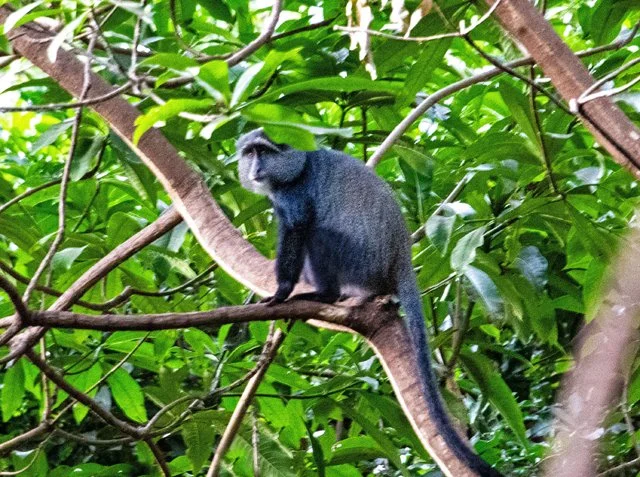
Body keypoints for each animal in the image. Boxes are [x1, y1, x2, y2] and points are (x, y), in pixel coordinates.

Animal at [236, 129, 503, 477]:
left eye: (264, 152)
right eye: (249, 153)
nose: (255, 168)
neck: (299, 165)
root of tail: (401, 255)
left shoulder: (293, 195)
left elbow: (296, 228)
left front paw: (281, 293)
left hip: (358, 261)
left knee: (317, 233)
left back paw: (324, 294)